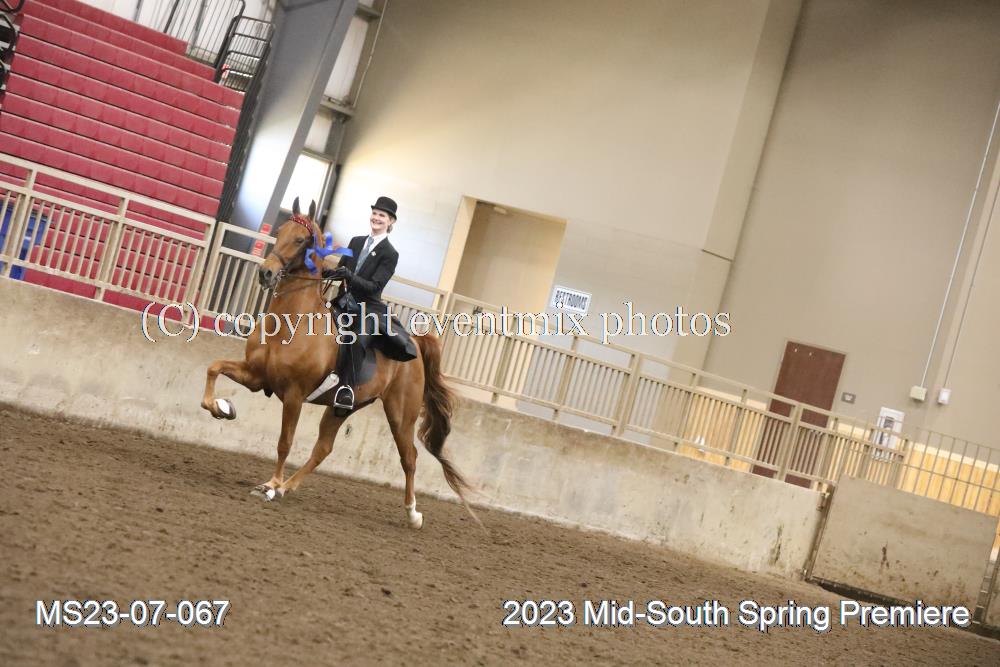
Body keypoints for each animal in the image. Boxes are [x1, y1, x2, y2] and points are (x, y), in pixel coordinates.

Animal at [199, 198, 472, 529]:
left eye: (301, 240)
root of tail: (416, 346)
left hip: (400, 414)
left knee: (409, 457)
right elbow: (214, 367)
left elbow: (284, 441)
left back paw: (413, 514)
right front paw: (220, 408)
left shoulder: (294, 395)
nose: (266, 273)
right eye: (279, 231)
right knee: (324, 448)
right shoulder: (256, 376)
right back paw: (288, 488)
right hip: (344, 406)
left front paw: (270, 485)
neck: (291, 323)